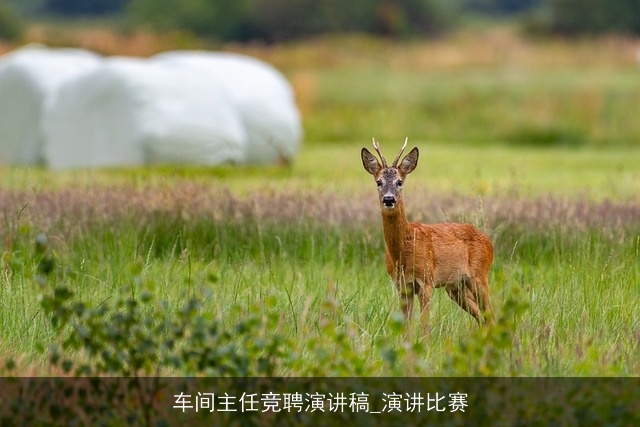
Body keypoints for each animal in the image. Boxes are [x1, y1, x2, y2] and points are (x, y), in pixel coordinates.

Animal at [360, 137, 496, 332]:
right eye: (379, 182)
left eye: (399, 182)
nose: (389, 199)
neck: (402, 250)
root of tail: (489, 242)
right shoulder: (402, 286)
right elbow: (406, 327)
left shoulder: (426, 281)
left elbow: (425, 325)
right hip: (456, 288)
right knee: (482, 317)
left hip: (479, 276)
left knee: (491, 314)